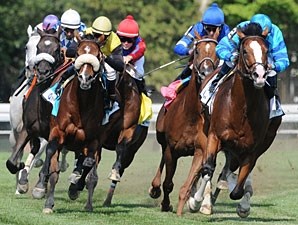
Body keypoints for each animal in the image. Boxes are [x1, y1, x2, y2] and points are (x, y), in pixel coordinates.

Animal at [31, 37, 106, 213]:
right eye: (78, 54)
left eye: (97, 55)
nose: (85, 78)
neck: (81, 105)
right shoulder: (57, 132)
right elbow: (52, 165)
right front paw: (47, 202)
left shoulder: (94, 140)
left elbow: (90, 168)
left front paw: (87, 202)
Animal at [148, 29, 220, 214]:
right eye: (197, 51)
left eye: (217, 52)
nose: (206, 72)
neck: (190, 115)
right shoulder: (171, 149)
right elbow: (168, 183)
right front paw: (165, 204)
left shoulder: (201, 149)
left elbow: (189, 182)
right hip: (162, 138)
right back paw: (154, 188)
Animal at [196, 23, 282, 217]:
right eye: (244, 50)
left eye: (267, 50)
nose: (259, 75)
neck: (241, 108)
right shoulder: (215, 136)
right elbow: (208, 167)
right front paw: (198, 201)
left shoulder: (252, 148)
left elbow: (238, 189)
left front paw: (242, 203)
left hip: (263, 142)